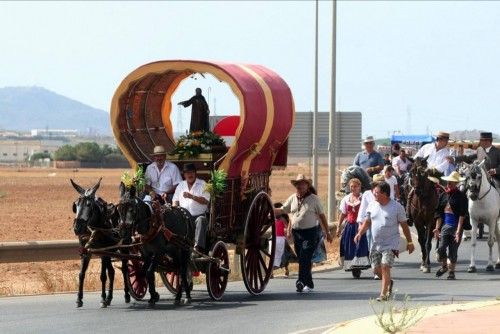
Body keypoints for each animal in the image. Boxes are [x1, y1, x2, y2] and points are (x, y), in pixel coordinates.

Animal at [70, 177, 131, 308]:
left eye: (89, 205)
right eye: (76, 205)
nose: (77, 228)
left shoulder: (103, 252)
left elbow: (103, 276)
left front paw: (102, 298)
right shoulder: (86, 252)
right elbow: (81, 274)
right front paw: (79, 299)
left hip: (123, 248)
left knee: (124, 269)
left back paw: (126, 295)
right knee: (112, 272)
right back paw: (109, 297)